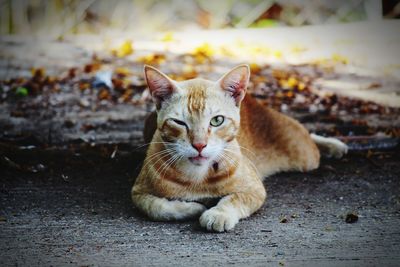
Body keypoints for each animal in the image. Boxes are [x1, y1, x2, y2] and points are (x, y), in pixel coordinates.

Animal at [131, 65, 346, 232]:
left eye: (217, 120)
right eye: (179, 122)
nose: (199, 145)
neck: (198, 176)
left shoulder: (255, 189)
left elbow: (233, 200)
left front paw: (218, 214)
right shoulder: (138, 193)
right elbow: (157, 208)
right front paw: (191, 208)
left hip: (305, 154)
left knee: (309, 136)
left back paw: (333, 145)